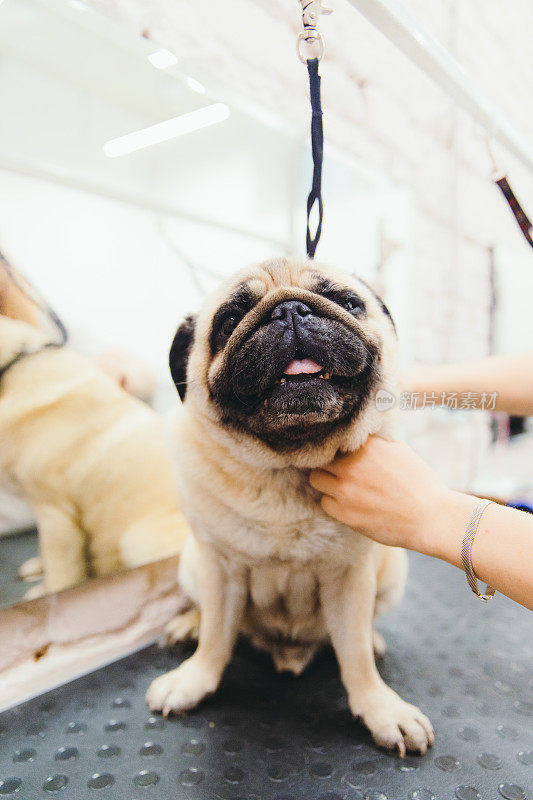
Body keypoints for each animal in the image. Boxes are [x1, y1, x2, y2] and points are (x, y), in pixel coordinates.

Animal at [145, 258, 432, 756]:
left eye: (349, 303)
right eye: (229, 322)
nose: (291, 310)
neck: (287, 467)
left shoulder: (351, 577)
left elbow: (354, 655)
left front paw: (380, 708)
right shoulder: (220, 570)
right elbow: (218, 637)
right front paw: (194, 679)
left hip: (392, 572)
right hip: (192, 562)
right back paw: (189, 625)